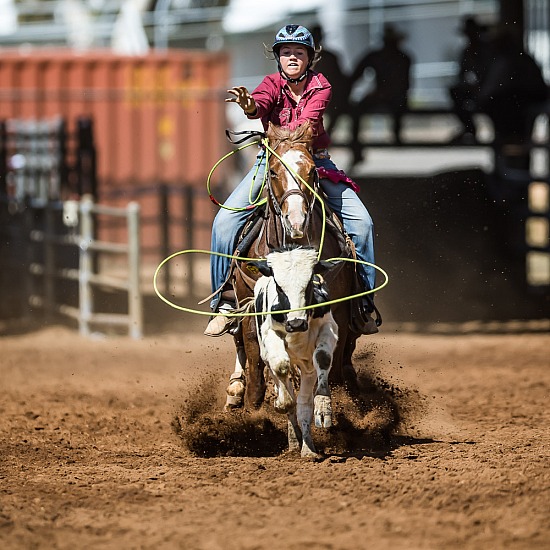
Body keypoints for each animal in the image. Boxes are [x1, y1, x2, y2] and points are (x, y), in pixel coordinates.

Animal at [254, 248, 340, 460]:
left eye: (309, 283)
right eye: (279, 285)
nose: (296, 323)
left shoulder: (329, 327)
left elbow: (323, 358)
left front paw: (324, 407)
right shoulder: (270, 335)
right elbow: (281, 366)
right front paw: (281, 403)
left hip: (306, 368)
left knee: (303, 404)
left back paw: (307, 447)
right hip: (266, 355)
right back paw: (294, 441)